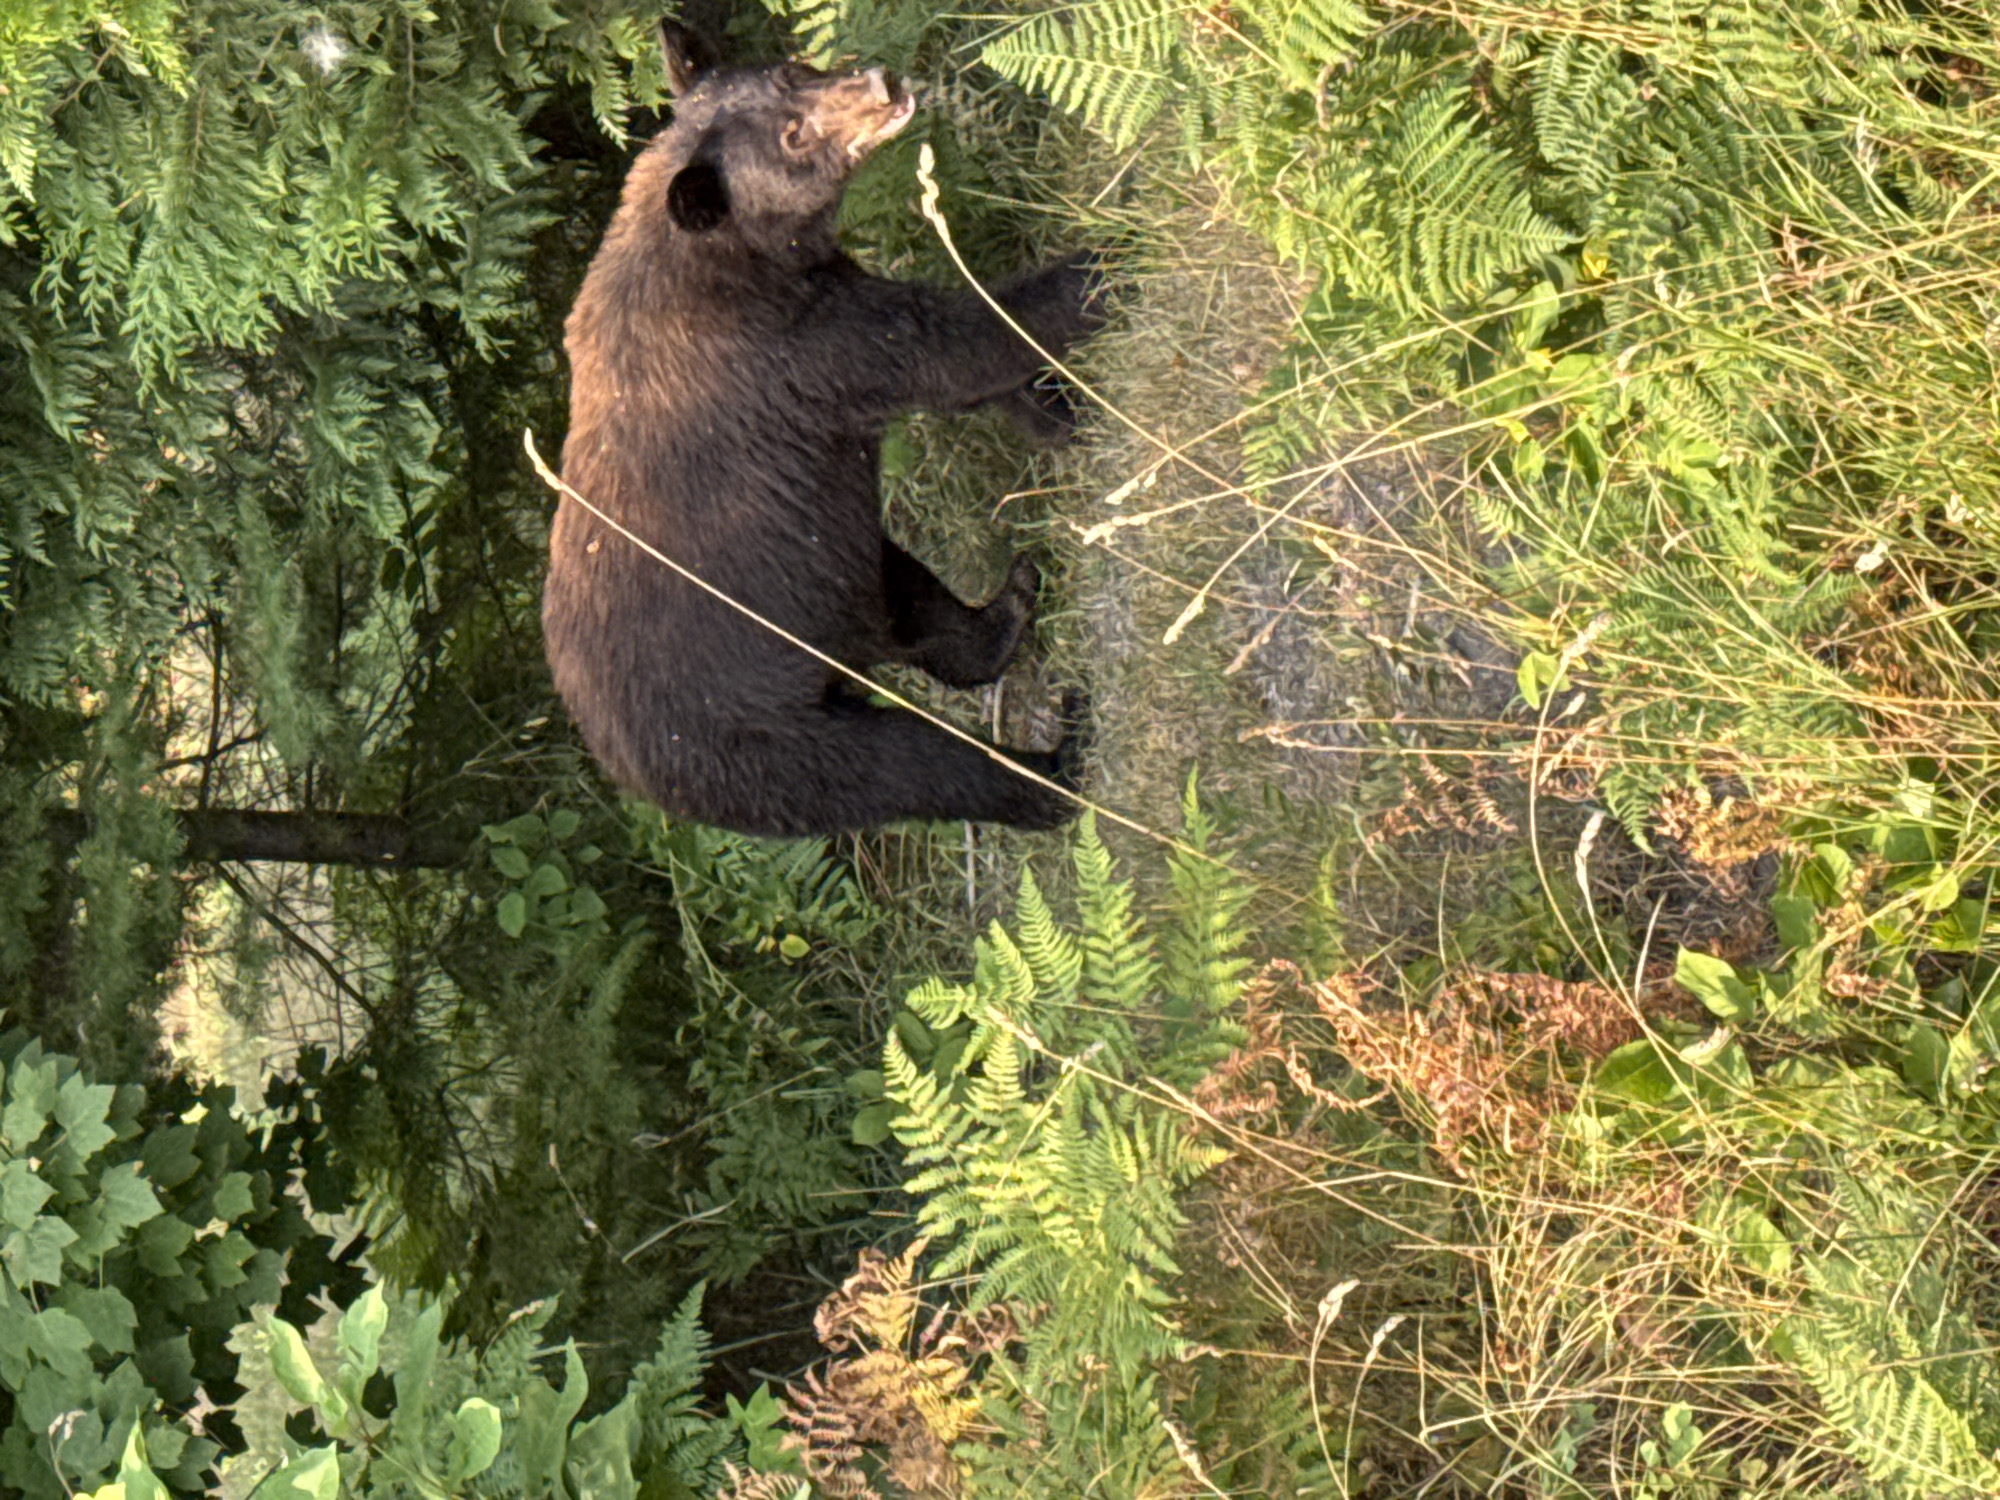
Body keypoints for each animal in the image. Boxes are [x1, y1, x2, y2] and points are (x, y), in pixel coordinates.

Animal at [543, 26, 1101, 838]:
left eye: (791, 67)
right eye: (793, 136)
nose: (878, 83)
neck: (739, 257)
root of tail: (628, 774)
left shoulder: (827, 293)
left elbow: (962, 366)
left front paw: (1060, 412)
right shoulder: (792, 347)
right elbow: (952, 344)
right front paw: (1101, 266)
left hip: (827, 584)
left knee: (906, 605)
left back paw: (1007, 611)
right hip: (758, 743)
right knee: (910, 765)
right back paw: (1060, 768)